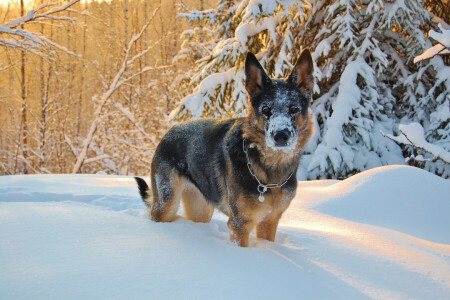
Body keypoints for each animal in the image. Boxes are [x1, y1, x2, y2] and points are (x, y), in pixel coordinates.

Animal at [135, 48, 314, 246]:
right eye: (266, 110)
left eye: (293, 109)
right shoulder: (239, 224)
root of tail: (169, 131)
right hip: (166, 204)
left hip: (201, 209)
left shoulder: (269, 221)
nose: (281, 136)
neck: (271, 168)